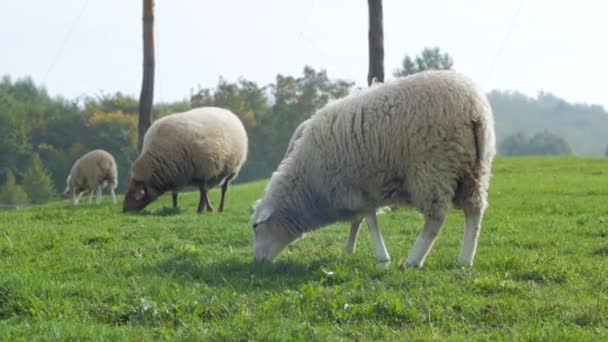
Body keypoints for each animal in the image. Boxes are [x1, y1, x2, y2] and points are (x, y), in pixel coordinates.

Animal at [251, 70, 494, 268]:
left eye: (255, 227)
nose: (257, 262)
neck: (307, 182)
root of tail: (474, 109)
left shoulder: (356, 187)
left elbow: (369, 221)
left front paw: (382, 257)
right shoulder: (358, 189)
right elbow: (358, 221)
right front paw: (349, 250)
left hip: (433, 167)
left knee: (435, 219)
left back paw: (414, 260)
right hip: (474, 170)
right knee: (474, 211)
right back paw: (465, 260)